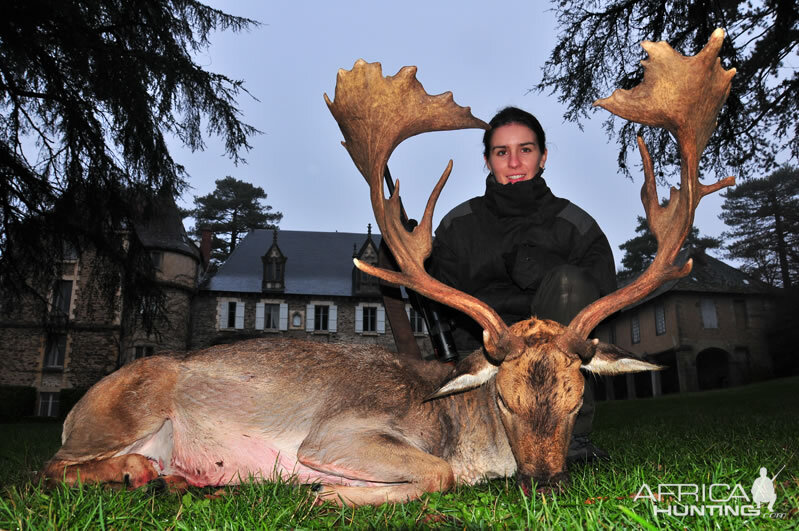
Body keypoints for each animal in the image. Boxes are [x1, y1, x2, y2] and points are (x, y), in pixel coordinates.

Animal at [40, 29, 736, 508]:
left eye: (575, 398)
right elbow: (439, 473)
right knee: (50, 468)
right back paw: (144, 473)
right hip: (123, 414)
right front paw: (327, 492)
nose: (544, 484)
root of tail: (77, 408)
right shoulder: (333, 435)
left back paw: (181, 480)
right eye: (504, 400)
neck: (454, 421)